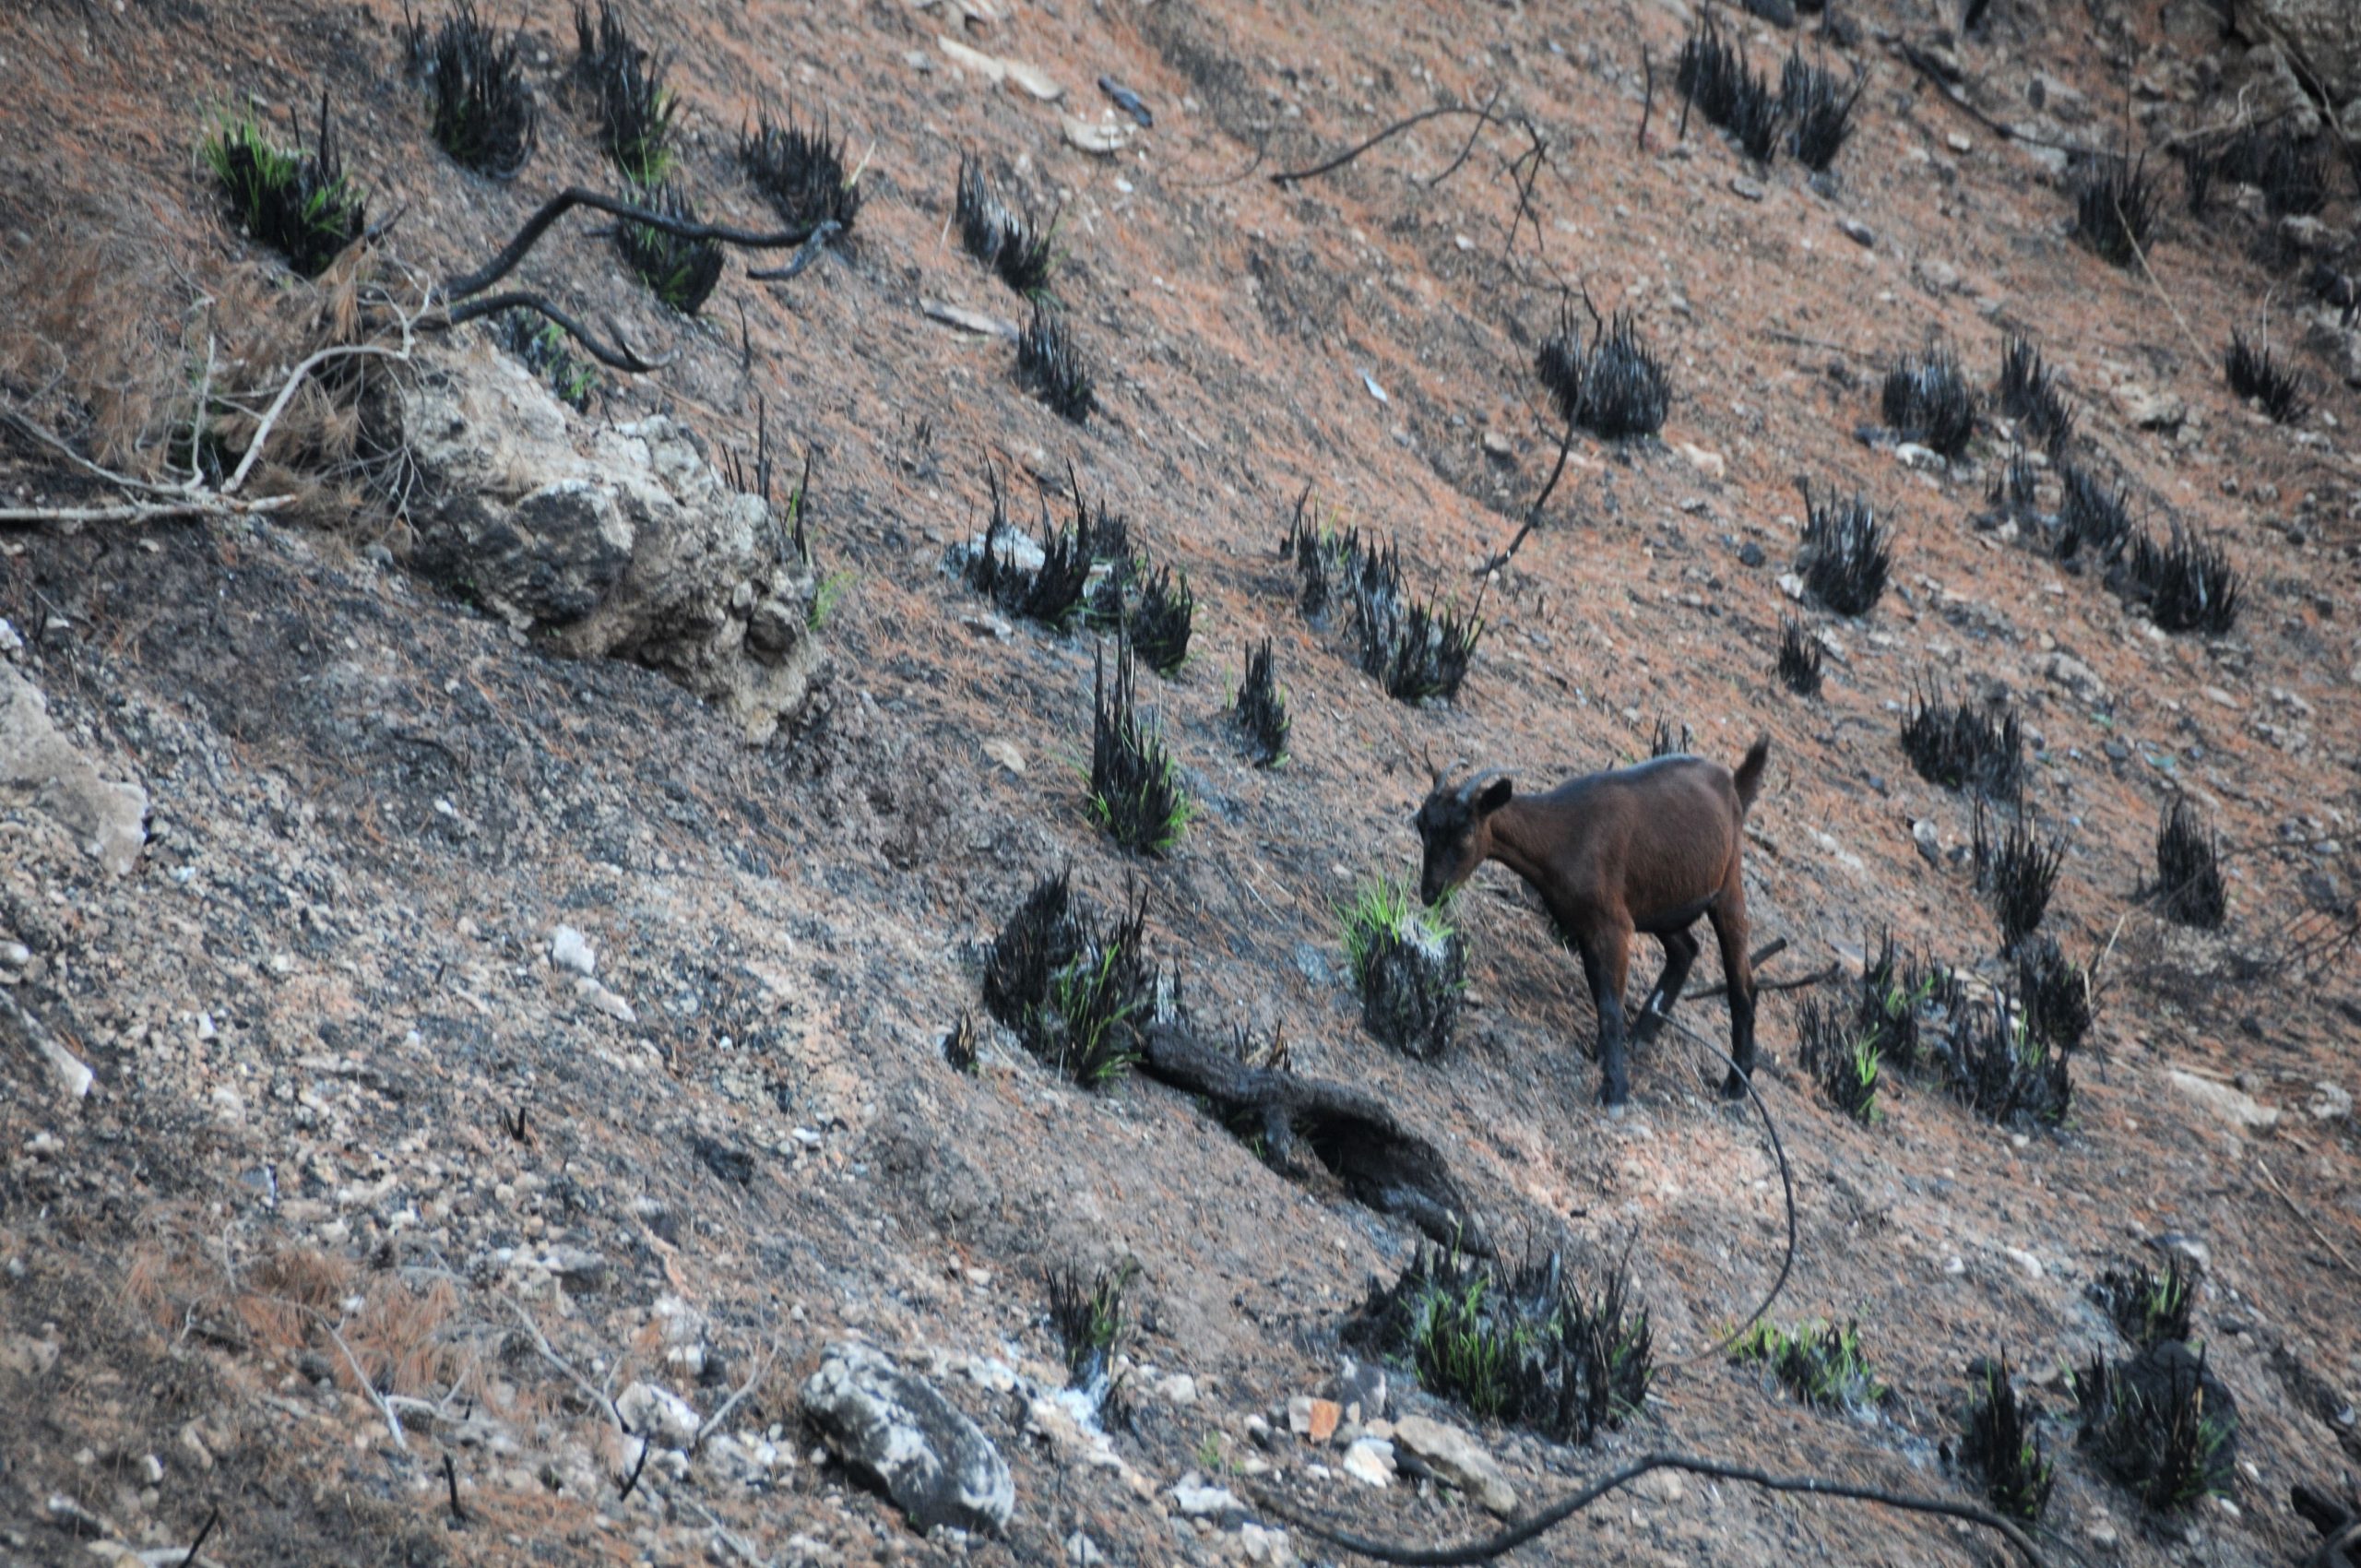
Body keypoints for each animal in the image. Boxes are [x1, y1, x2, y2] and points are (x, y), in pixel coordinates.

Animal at [1413, 737, 1770, 1110]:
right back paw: (1641, 1036)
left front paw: (1615, 1092)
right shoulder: (1585, 925)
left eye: (1466, 831)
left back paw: (1736, 1083)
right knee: (1685, 949)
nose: (1430, 892)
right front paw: (1604, 1056)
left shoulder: (1613, 925)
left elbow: (1611, 1006)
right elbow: (1601, 996)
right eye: (1421, 825)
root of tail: (1733, 782)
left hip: (1728, 887)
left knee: (1742, 981)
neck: (1565, 835)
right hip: (1663, 902)